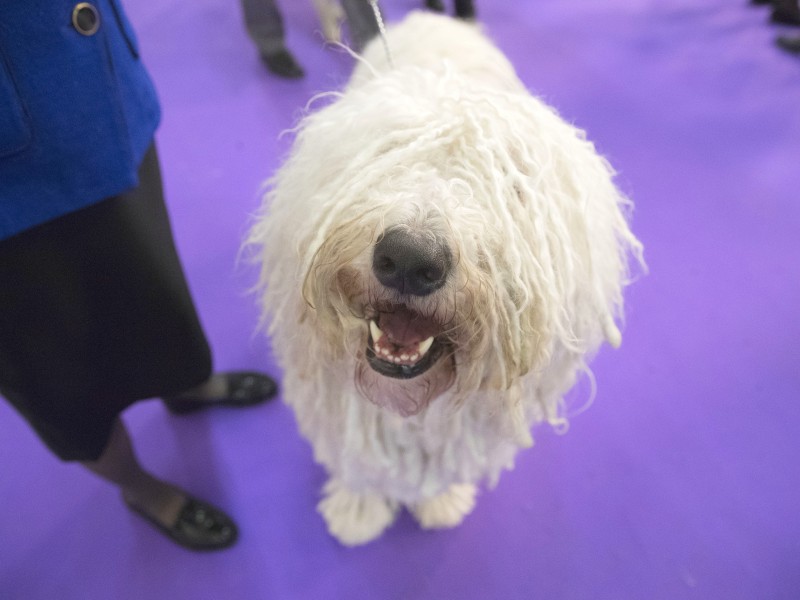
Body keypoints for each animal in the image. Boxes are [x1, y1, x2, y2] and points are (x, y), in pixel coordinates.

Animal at [248, 11, 644, 548]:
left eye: (513, 185)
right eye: (389, 152)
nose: (410, 258)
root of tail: (431, 15)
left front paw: (440, 501)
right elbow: (354, 457)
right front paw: (358, 510)